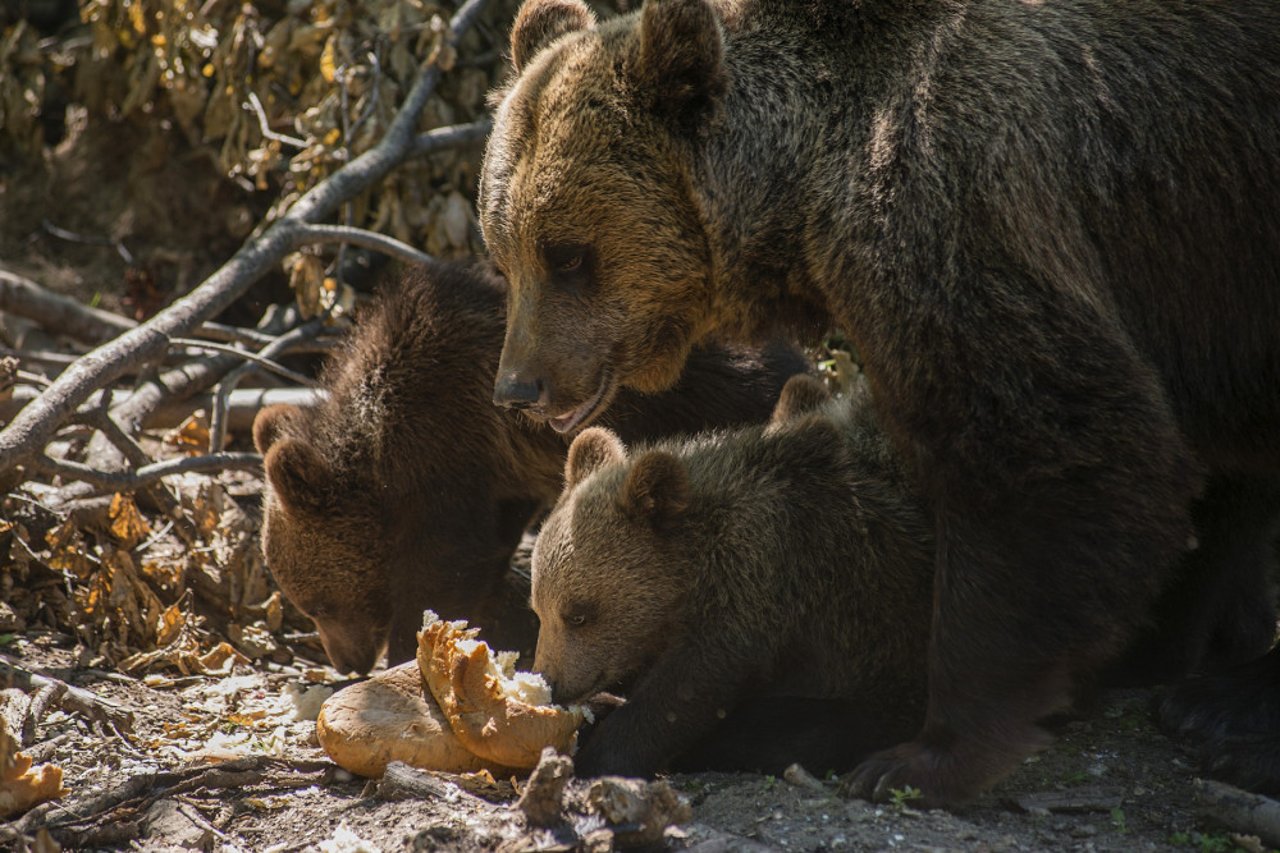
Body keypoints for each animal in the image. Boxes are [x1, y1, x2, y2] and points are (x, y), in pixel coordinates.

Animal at [478, 0, 1280, 804]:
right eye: (504, 251)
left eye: (568, 253)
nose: (518, 386)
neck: (808, 180)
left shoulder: (963, 210)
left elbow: (1042, 450)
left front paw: (929, 750)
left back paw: (1226, 712)